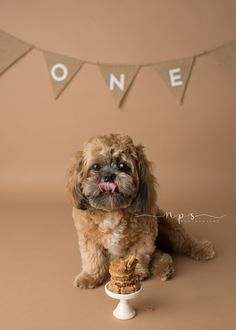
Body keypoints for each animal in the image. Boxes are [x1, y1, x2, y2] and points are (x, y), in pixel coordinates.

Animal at [67, 133, 215, 288]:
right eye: (95, 166)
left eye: (123, 166)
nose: (108, 176)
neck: (112, 211)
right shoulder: (89, 239)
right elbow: (93, 258)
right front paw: (90, 276)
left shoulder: (144, 236)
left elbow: (138, 254)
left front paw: (135, 273)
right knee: (160, 252)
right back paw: (164, 268)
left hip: (170, 227)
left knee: (184, 242)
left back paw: (200, 249)